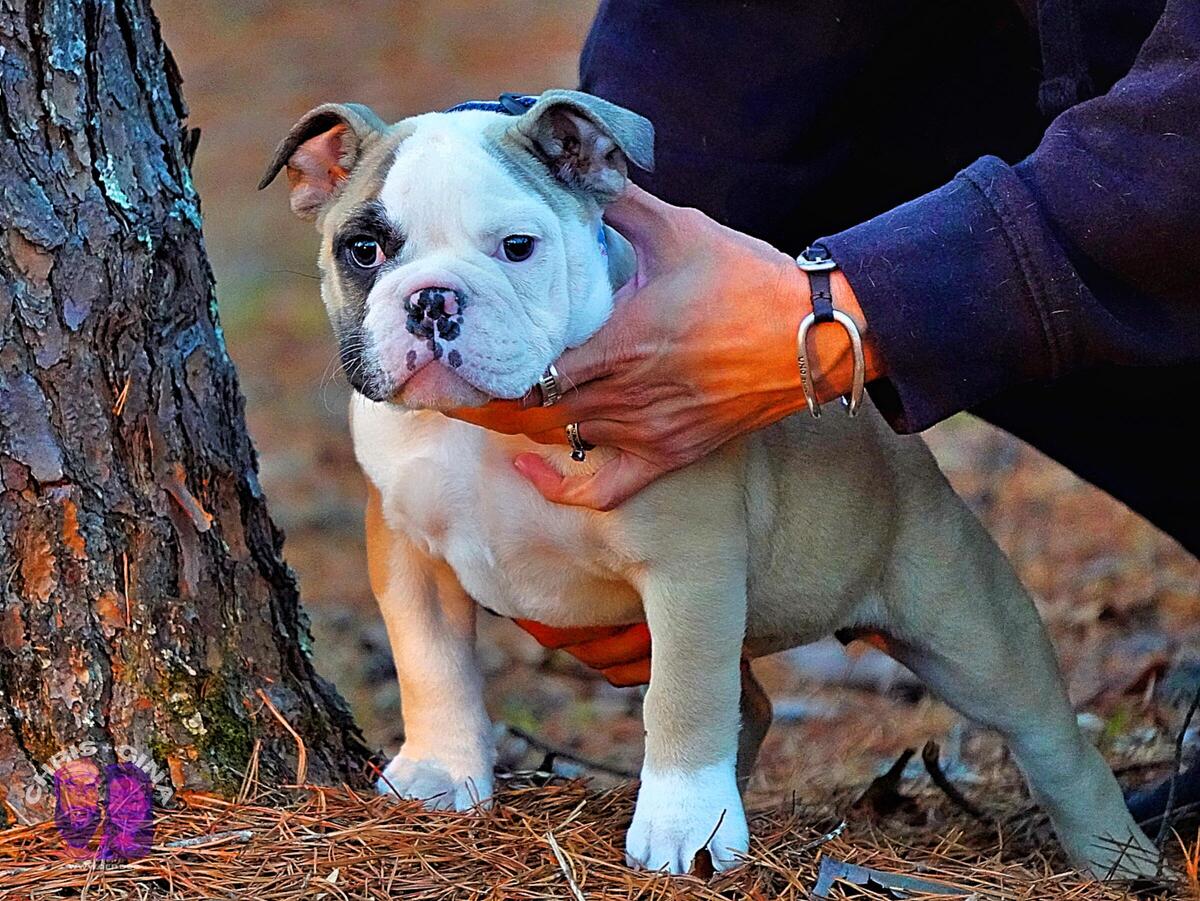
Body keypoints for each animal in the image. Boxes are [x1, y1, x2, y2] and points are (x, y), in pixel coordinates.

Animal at [260, 88, 1152, 878]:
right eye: (364, 250)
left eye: (517, 247)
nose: (433, 299)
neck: (485, 424)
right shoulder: (408, 549)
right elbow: (430, 661)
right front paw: (441, 771)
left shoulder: (689, 572)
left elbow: (682, 700)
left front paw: (681, 826)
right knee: (749, 702)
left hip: (965, 622)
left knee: (1049, 734)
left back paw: (1120, 856)